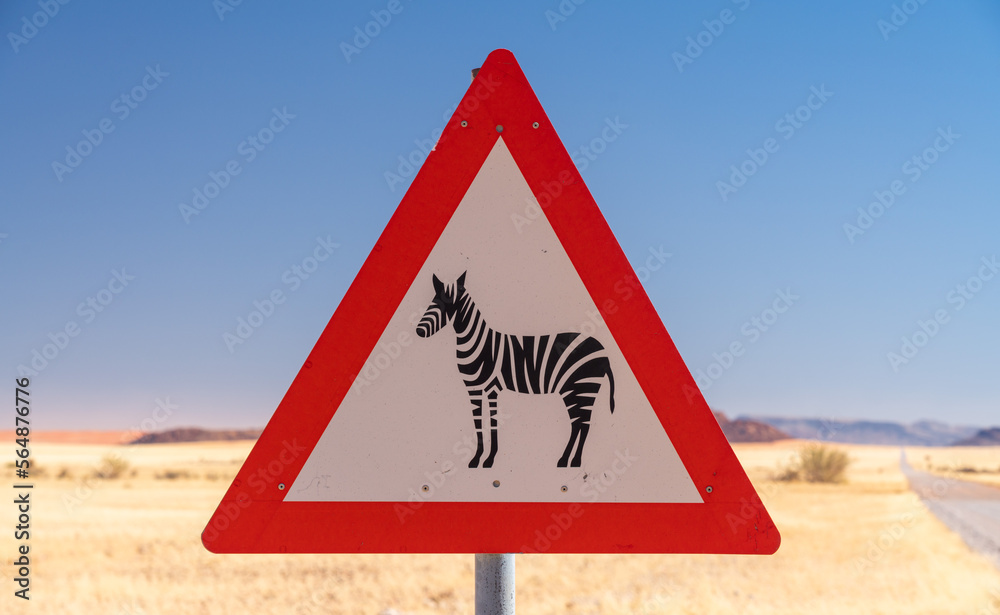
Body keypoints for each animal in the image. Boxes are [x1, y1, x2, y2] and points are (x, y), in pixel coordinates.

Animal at [416, 272, 615, 468]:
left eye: (444, 306)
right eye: (432, 303)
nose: (418, 332)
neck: (477, 344)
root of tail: (603, 349)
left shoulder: (492, 388)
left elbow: (493, 422)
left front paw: (489, 459)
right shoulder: (473, 388)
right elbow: (478, 423)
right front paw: (476, 459)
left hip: (584, 387)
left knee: (583, 424)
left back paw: (573, 461)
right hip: (574, 390)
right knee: (578, 424)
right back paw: (567, 460)